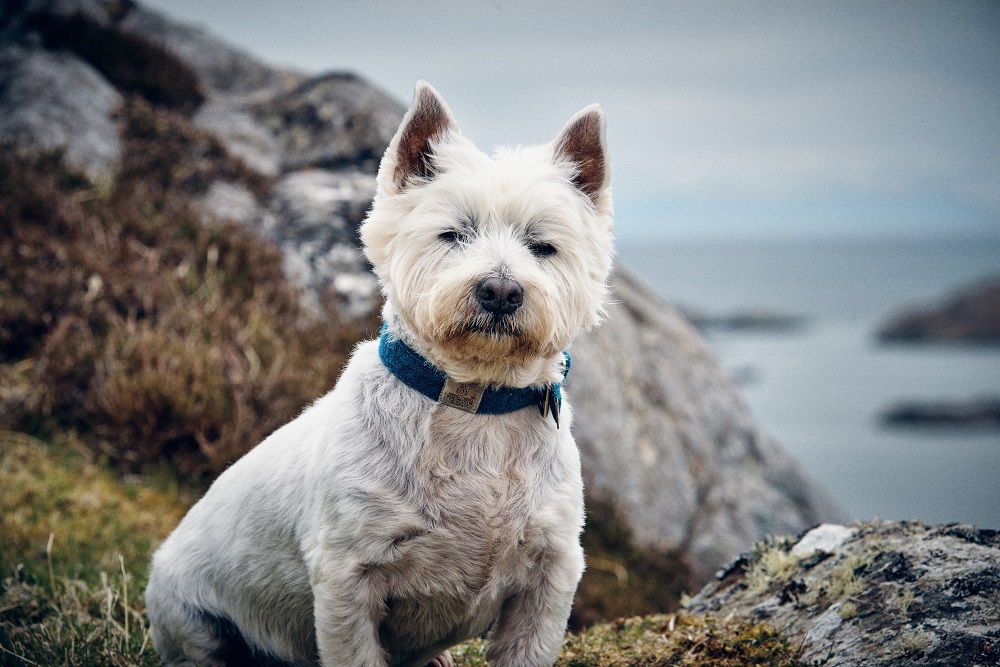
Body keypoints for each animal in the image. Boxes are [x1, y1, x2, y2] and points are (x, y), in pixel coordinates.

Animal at [145, 82, 612, 667]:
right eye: (453, 234)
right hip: (190, 615)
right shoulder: (349, 576)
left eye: (543, 245)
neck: (477, 407)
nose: (501, 291)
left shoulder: (549, 573)